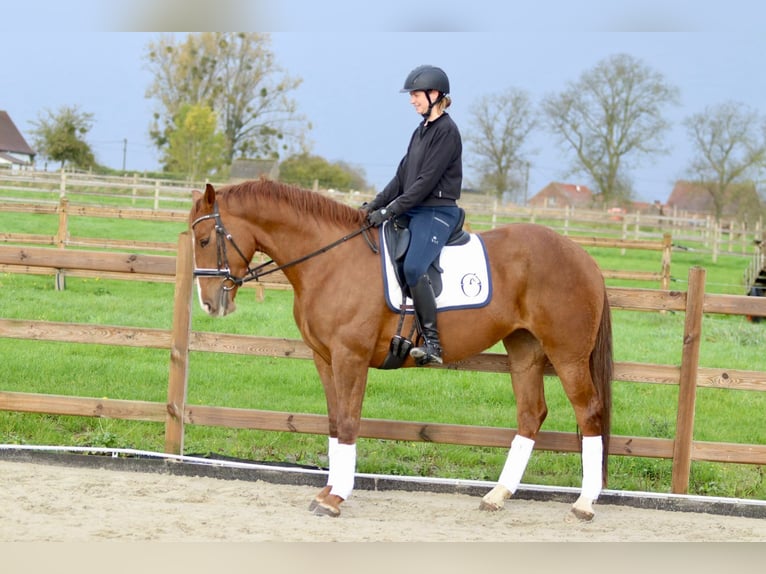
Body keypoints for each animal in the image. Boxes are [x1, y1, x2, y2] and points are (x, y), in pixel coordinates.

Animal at [189, 179, 616, 520]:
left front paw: (336, 498)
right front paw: (328, 490)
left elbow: (349, 422)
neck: (330, 260)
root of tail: (583, 258)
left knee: (589, 412)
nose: (210, 304)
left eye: (206, 240)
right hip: (525, 350)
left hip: (568, 355)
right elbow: (334, 422)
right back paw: (498, 495)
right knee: (531, 414)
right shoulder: (324, 358)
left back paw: (584, 503)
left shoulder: (351, 358)